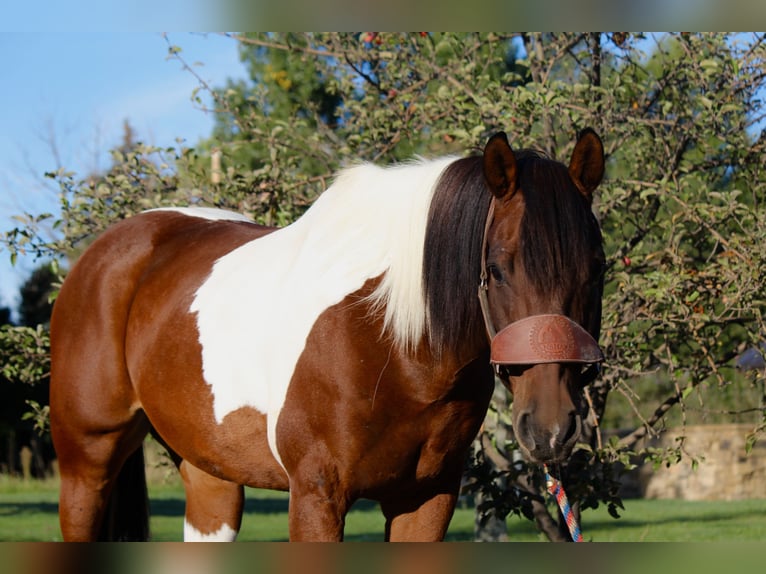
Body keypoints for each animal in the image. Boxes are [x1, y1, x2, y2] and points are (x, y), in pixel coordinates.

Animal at [49, 128, 606, 541]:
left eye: (596, 269)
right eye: (497, 269)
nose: (552, 428)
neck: (394, 346)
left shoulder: (427, 498)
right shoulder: (317, 495)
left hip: (210, 473)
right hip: (86, 464)